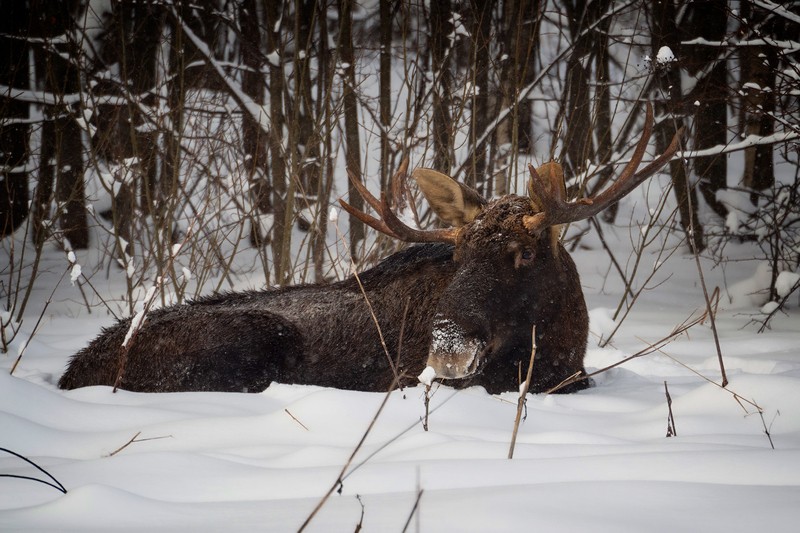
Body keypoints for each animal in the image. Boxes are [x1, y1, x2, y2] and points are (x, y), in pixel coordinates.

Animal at [59, 105, 680, 394]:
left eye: (524, 254)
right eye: (458, 257)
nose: (446, 350)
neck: (563, 346)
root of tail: (69, 372)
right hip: (252, 337)